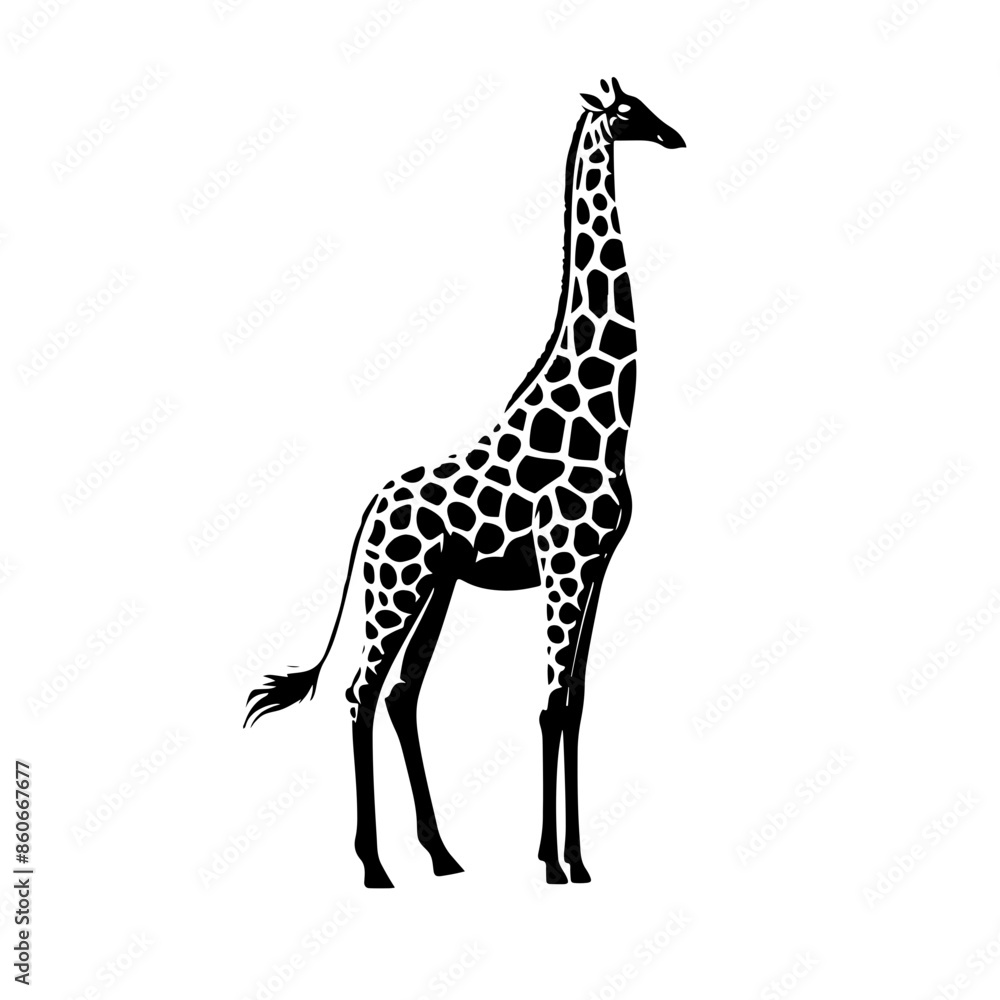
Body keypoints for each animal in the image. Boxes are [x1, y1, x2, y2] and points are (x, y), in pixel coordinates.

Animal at [246, 78, 685, 888]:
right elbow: (549, 706)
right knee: (361, 690)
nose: (675, 136)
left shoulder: (598, 568)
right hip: (397, 587)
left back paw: (442, 855)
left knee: (402, 694)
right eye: (628, 110)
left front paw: (576, 859)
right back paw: (375, 866)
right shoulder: (564, 564)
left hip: (438, 585)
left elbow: (576, 706)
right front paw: (553, 864)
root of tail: (369, 508)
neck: (604, 419)